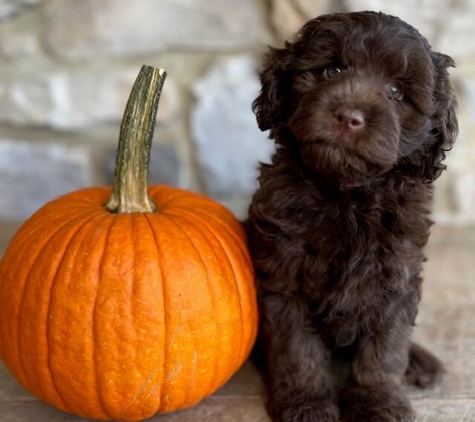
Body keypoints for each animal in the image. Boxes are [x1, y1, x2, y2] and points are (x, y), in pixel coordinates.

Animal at [245, 9, 458, 422]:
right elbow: (296, 349)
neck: (347, 193)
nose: (349, 116)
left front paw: (378, 402)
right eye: (333, 71)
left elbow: (384, 351)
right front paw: (307, 403)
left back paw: (420, 362)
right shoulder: (284, 276)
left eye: (396, 92)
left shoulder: (395, 276)